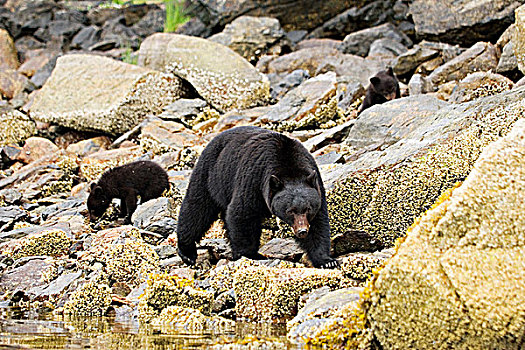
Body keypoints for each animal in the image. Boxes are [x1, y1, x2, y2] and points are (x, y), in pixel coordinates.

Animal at [178, 126, 338, 268]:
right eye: (290, 211)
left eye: (307, 209)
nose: (302, 231)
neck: (288, 166)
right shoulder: (254, 178)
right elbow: (242, 214)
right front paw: (250, 255)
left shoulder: (316, 184)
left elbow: (319, 223)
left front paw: (327, 261)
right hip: (211, 175)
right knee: (196, 208)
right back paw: (187, 252)